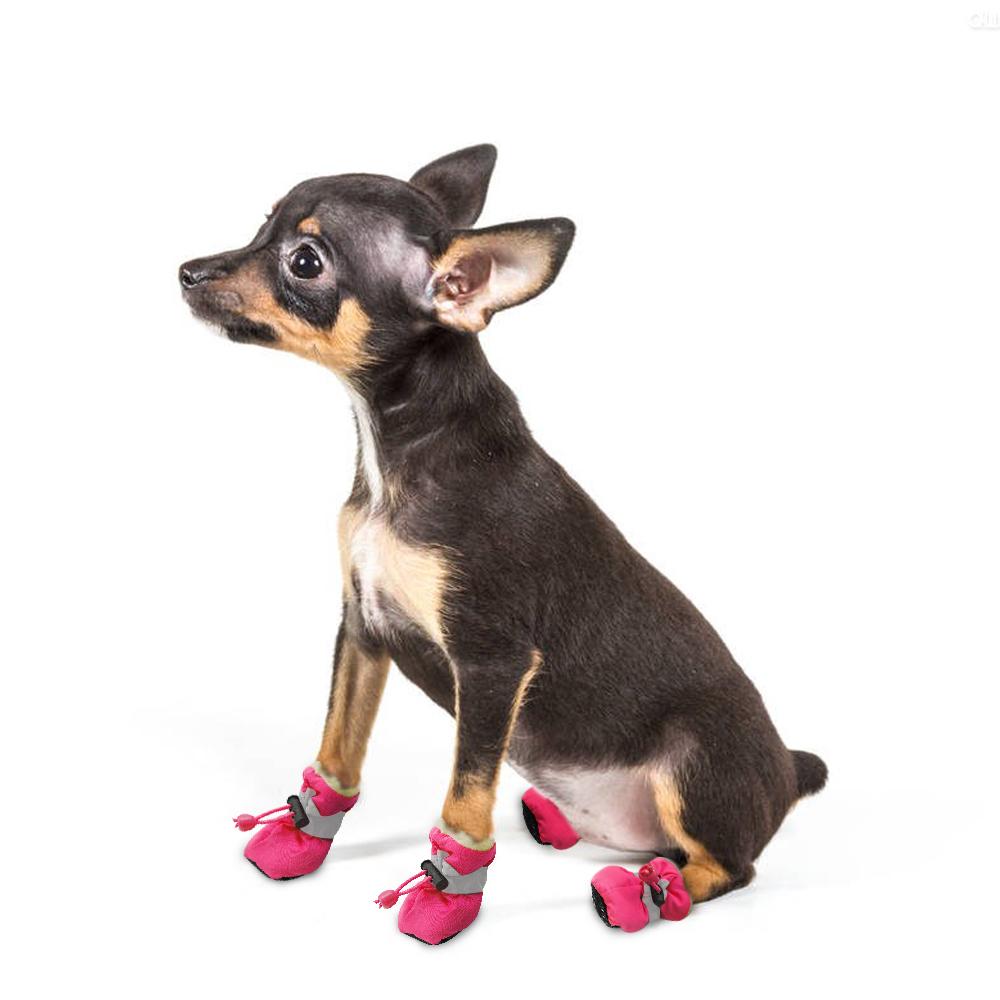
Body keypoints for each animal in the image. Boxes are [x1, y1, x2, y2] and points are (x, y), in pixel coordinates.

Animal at [182, 145, 828, 932]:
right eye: (262, 226)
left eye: (305, 263)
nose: (186, 272)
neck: (397, 455)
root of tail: (788, 770)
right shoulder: (362, 626)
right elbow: (338, 746)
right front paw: (304, 837)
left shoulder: (491, 662)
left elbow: (466, 792)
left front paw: (445, 894)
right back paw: (559, 820)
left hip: (696, 765)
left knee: (728, 868)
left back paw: (648, 891)